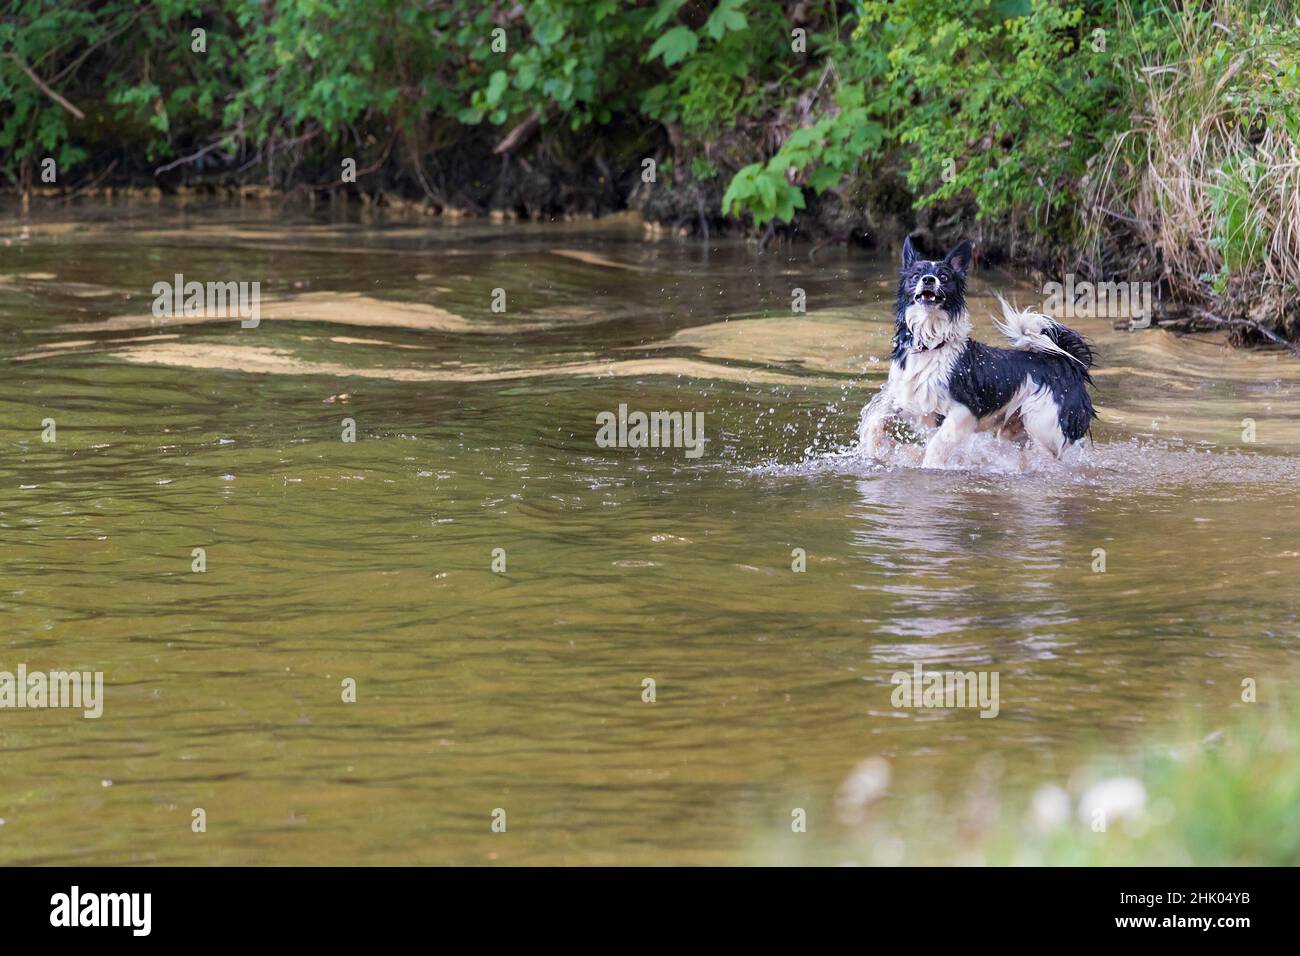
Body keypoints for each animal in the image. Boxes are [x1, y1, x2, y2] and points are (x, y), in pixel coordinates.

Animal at [863, 235, 1097, 468]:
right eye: (916, 275)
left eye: (943, 277)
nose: (929, 280)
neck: (930, 344)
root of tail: (1069, 364)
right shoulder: (907, 400)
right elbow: (874, 419)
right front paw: (877, 447)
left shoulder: (964, 411)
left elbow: (939, 442)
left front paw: (930, 465)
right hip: (1014, 429)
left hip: (1044, 425)